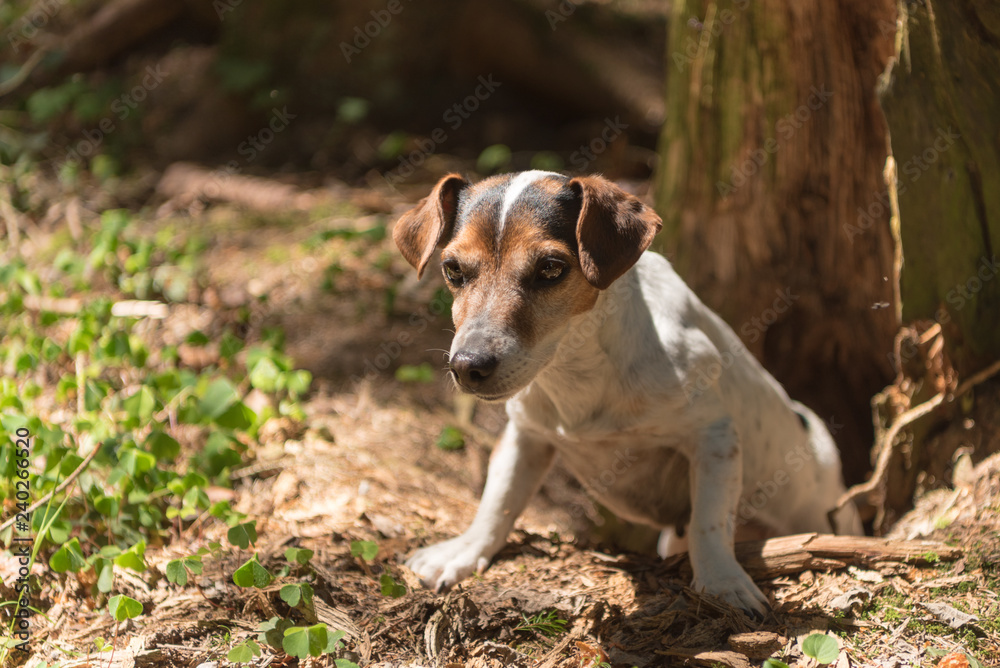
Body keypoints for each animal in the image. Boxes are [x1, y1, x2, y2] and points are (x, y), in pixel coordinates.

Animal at [394, 170, 864, 612]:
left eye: (550, 268)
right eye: (453, 270)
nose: (467, 366)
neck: (578, 367)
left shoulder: (714, 435)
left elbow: (711, 522)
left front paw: (722, 582)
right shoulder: (526, 437)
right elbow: (498, 501)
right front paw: (464, 552)